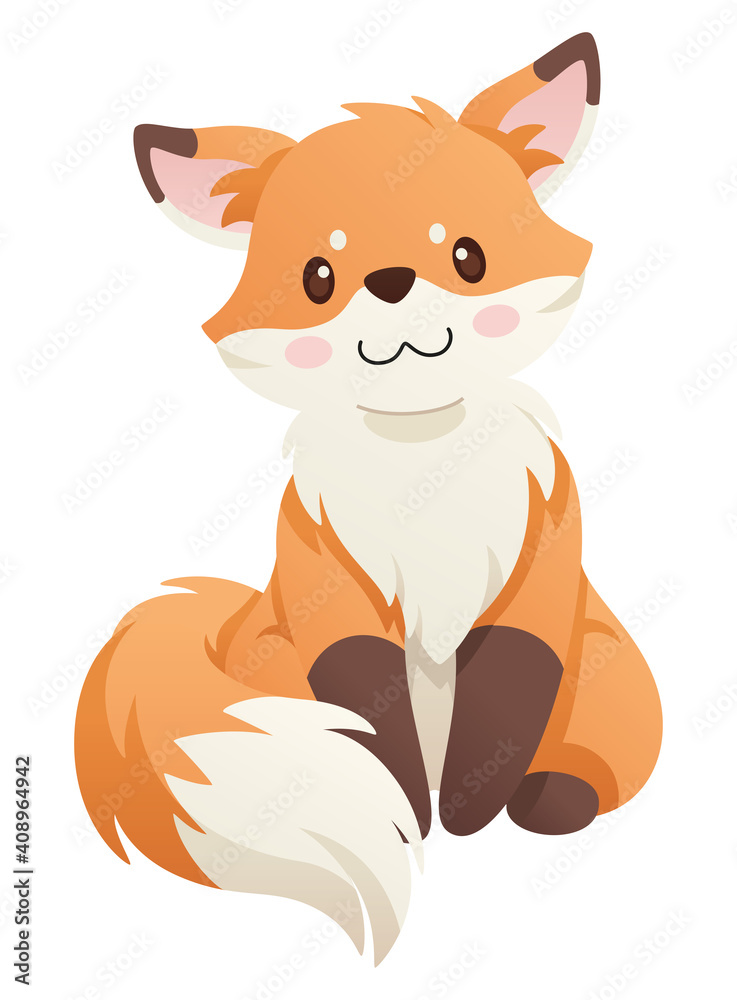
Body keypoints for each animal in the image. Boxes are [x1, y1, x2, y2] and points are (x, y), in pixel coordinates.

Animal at [75, 33, 661, 964]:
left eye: (466, 255)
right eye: (319, 274)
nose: (389, 280)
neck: (420, 467)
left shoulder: (539, 566)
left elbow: (508, 688)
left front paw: (466, 812)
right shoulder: (327, 586)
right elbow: (369, 704)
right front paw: (415, 814)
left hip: (606, 664)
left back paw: (552, 795)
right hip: (273, 669)